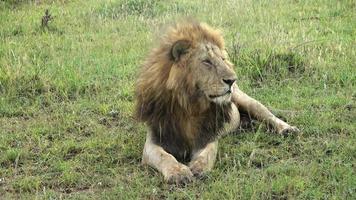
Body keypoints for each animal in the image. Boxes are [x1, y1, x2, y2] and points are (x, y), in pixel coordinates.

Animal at [135, 20, 298, 184]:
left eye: (223, 60)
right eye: (207, 62)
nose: (232, 80)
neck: (189, 105)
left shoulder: (208, 135)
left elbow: (208, 154)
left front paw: (198, 168)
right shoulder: (154, 140)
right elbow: (165, 156)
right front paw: (178, 173)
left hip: (247, 101)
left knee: (268, 115)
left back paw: (287, 129)